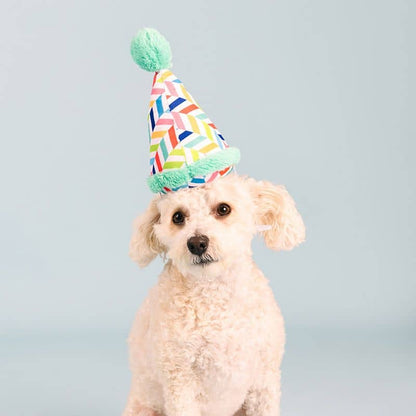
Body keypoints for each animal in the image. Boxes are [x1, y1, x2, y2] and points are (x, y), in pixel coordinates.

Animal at [122, 173, 304, 416]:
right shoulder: (179, 381)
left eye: (223, 209)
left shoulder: (264, 380)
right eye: (178, 216)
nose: (197, 243)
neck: (214, 295)